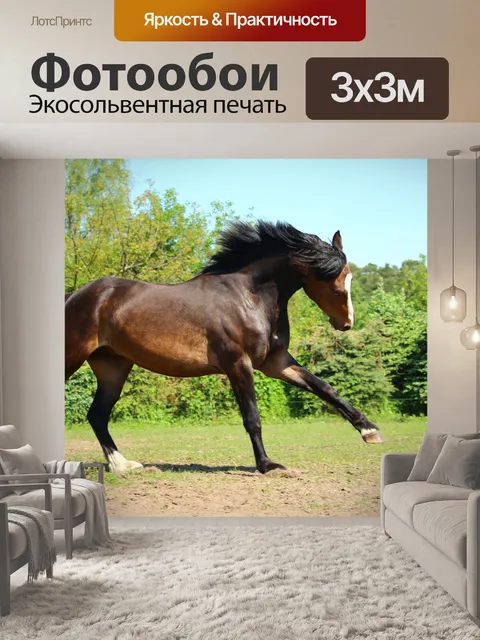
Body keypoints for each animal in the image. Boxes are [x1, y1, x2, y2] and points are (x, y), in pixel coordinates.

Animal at [65, 220, 383, 474]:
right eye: (336, 285)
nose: (347, 323)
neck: (250, 297)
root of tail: (76, 296)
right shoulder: (238, 363)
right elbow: (252, 417)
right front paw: (267, 465)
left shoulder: (276, 362)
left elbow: (325, 388)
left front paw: (370, 431)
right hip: (73, 358)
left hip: (113, 368)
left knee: (97, 415)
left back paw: (123, 465)